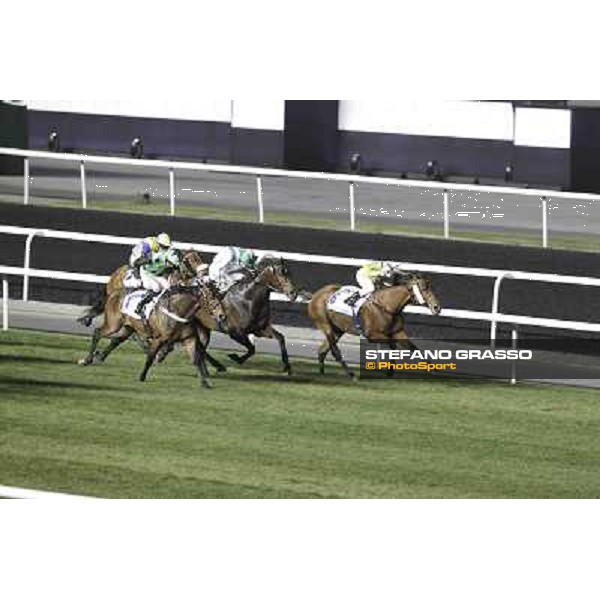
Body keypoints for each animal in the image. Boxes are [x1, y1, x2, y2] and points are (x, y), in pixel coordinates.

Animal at [310, 274, 440, 378]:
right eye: (424, 288)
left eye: (431, 287)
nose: (437, 307)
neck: (387, 306)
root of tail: (315, 295)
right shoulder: (372, 335)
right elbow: (393, 345)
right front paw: (389, 371)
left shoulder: (398, 332)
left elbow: (414, 349)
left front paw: (435, 368)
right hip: (326, 325)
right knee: (335, 352)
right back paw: (351, 374)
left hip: (338, 329)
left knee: (322, 351)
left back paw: (322, 374)